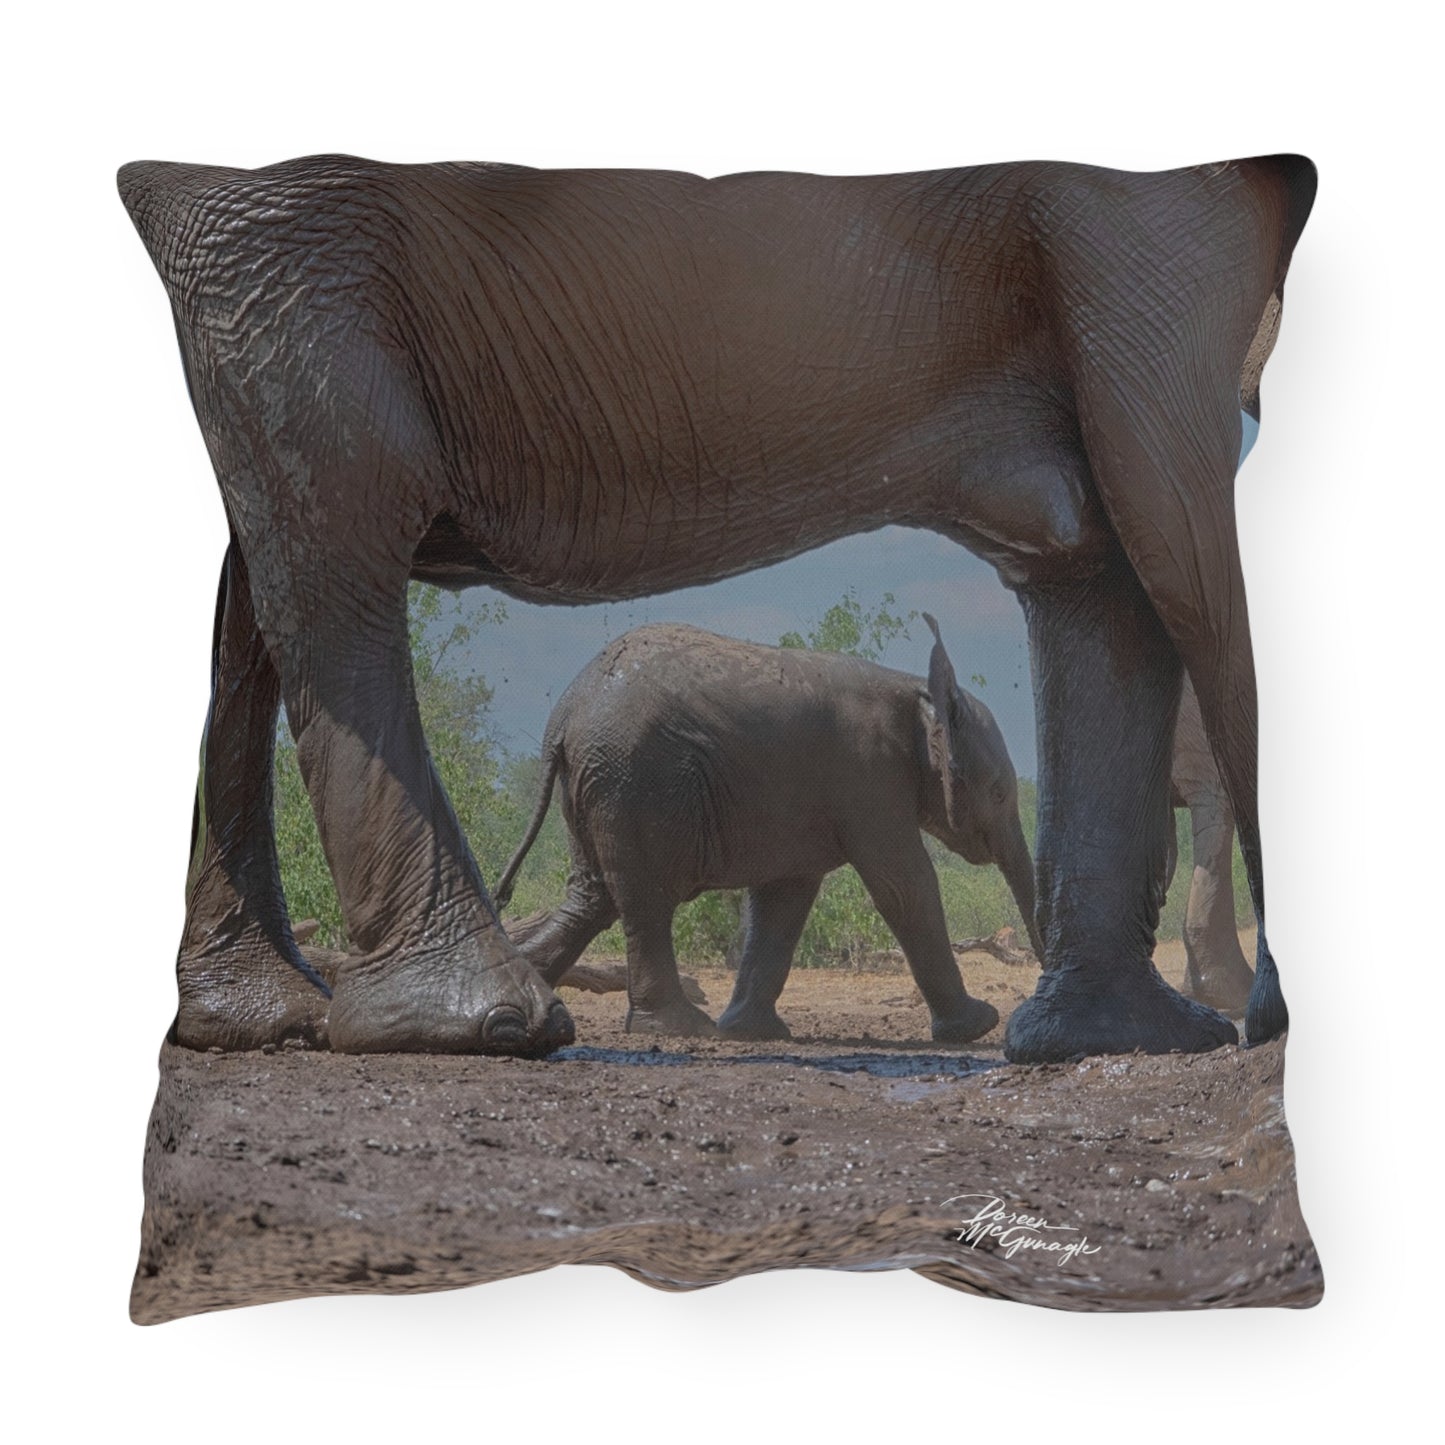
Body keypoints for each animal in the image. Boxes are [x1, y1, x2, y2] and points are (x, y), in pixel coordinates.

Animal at [490, 618, 1040, 1043]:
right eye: (998, 793)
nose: (1029, 997)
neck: (918, 692)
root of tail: (564, 715)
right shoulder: (869, 777)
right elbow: (905, 886)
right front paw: (978, 1026)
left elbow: (782, 902)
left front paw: (753, 1032)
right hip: (633, 780)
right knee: (645, 901)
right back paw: (681, 1028)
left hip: (596, 784)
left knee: (591, 900)